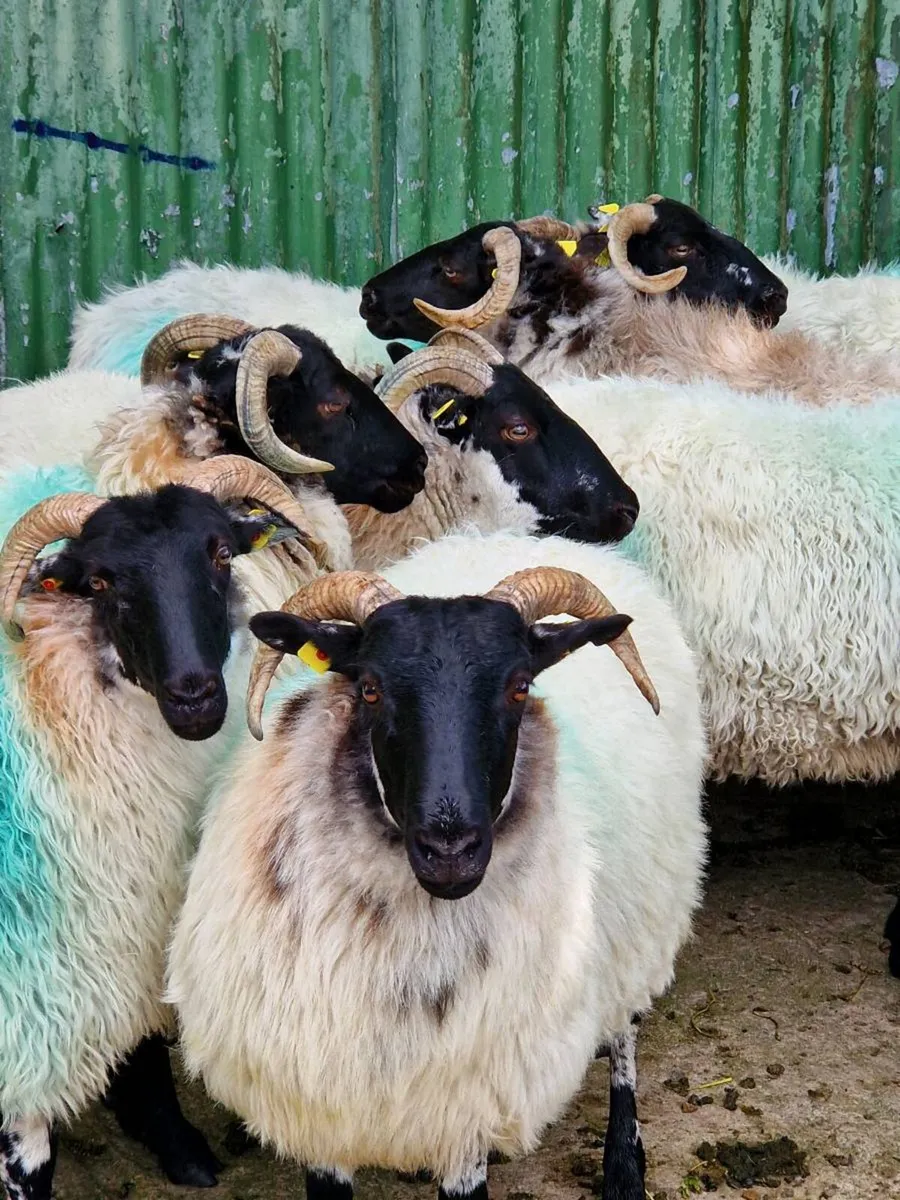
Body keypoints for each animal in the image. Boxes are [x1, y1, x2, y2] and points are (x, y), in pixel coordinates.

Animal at [0, 455, 323, 1197]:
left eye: (222, 552)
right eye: (99, 583)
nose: (194, 695)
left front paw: (179, 1147)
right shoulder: (24, 1012)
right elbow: (29, 1161)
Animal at [168, 541, 707, 1200]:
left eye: (521, 686)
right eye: (369, 687)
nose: (451, 850)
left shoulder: (466, 1112)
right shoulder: (318, 1111)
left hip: (642, 914)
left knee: (624, 1028)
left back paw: (625, 1166)